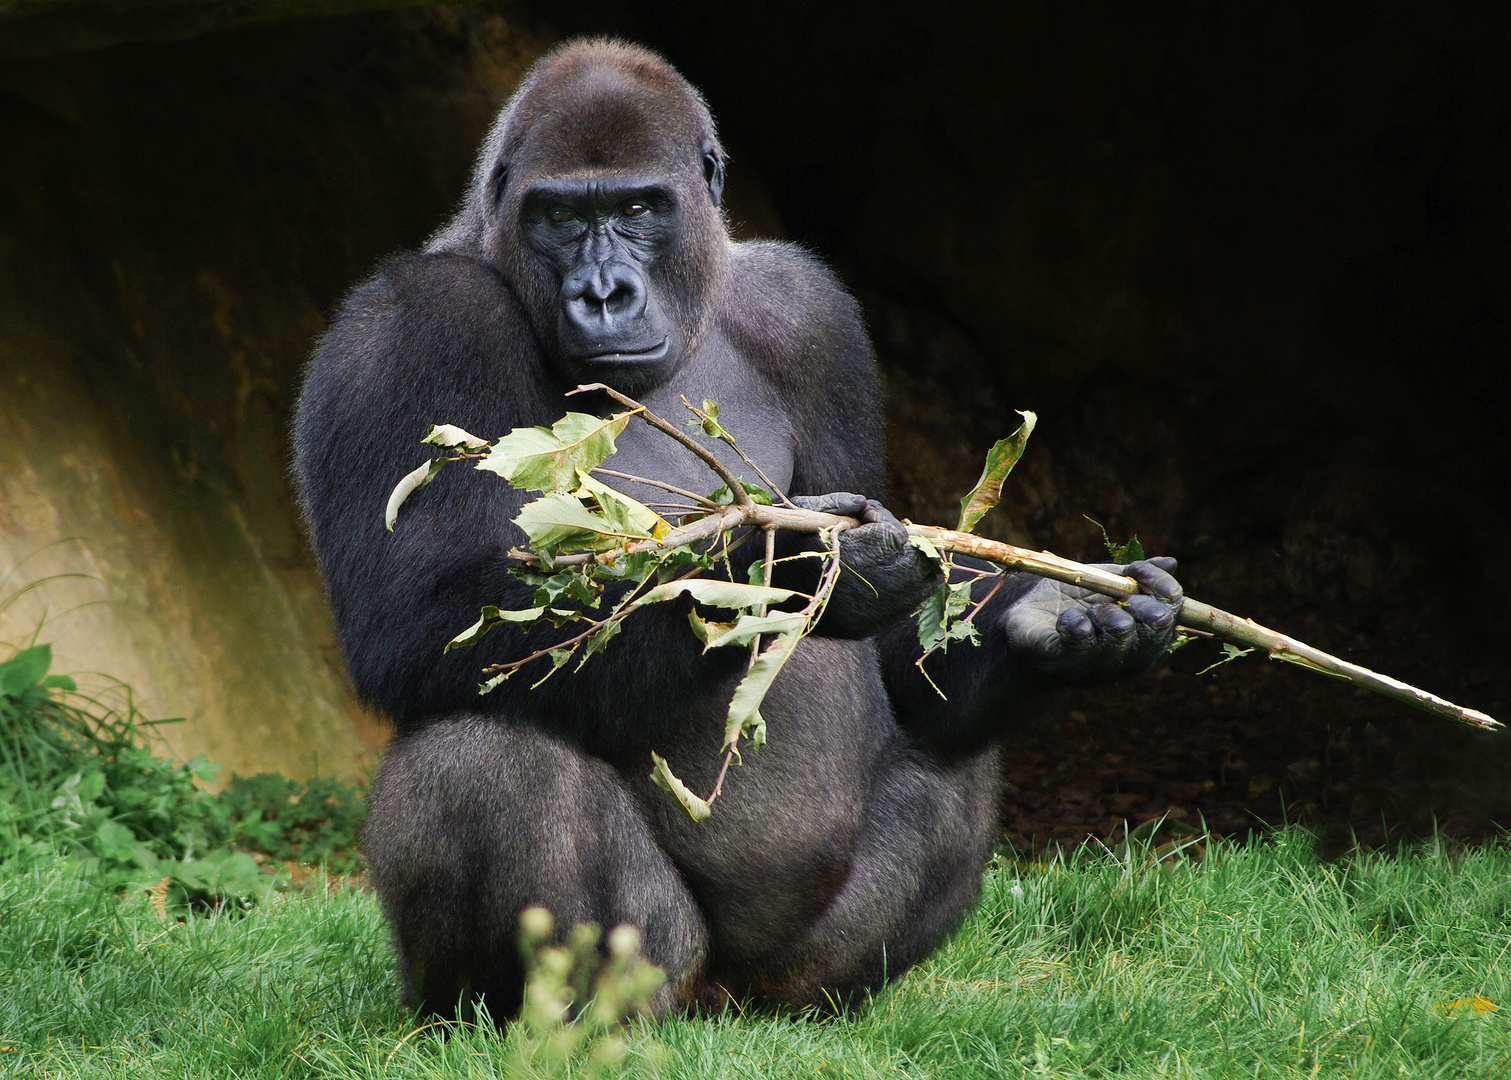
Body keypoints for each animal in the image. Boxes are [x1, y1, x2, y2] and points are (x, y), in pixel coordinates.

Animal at [291, 40, 1178, 1021]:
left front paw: (1050, 622)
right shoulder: (401, 328)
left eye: (638, 209)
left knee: (955, 757)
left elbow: (902, 651)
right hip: (659, 971)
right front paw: (799, 564)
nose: (605, 294)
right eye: (558, 216)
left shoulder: (809, 311)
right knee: (476, 763)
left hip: (789, 975)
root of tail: (725, 1006)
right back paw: (564, 1022)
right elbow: (415, 624)